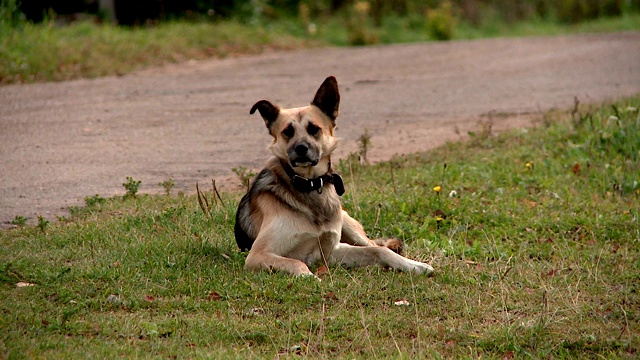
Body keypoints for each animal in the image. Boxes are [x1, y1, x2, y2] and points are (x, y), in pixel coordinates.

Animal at [232, 76, 432, 278]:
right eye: (287, 131)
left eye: (314, 129)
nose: (301, 149)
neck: (310, 185)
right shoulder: (258, 255)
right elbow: (296, 262)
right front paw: (310, 278)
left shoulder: (330, 252)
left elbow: (379, 250)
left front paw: (414, 265)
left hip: (348, 224)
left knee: (376, 244)